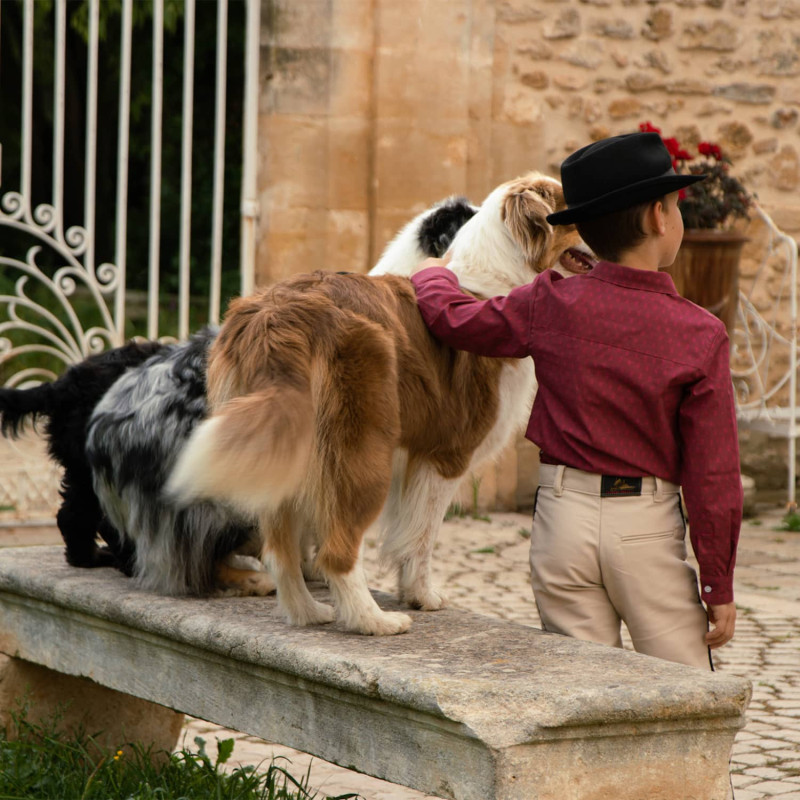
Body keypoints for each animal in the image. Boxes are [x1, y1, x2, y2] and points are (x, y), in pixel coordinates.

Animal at [167, 172, 592, 636]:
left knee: (279, 551)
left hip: (285, 450)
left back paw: (308, 613)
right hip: (362, 451)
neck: (494, 276)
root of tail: (278, 315)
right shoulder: (444, 455)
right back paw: (373, 620)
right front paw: (422, 596)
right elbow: (422, 535)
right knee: (336, 550)